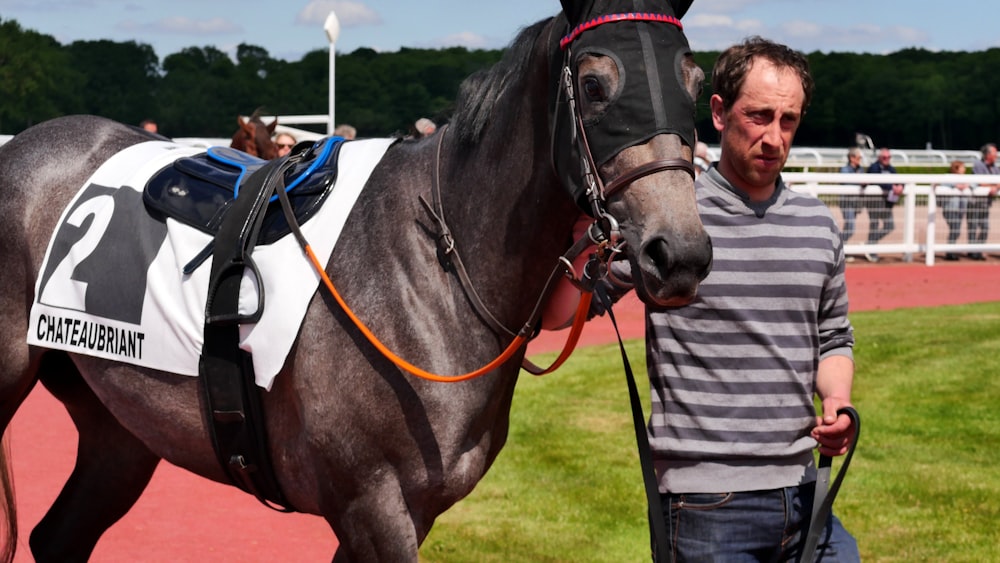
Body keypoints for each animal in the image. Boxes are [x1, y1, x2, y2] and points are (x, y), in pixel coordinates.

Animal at [0, 2, 712, 560]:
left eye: (694, 82)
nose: (678, 253)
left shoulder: (405, 511)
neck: (432, 267)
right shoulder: (372, 502)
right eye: (593, 84)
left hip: (121, 427)